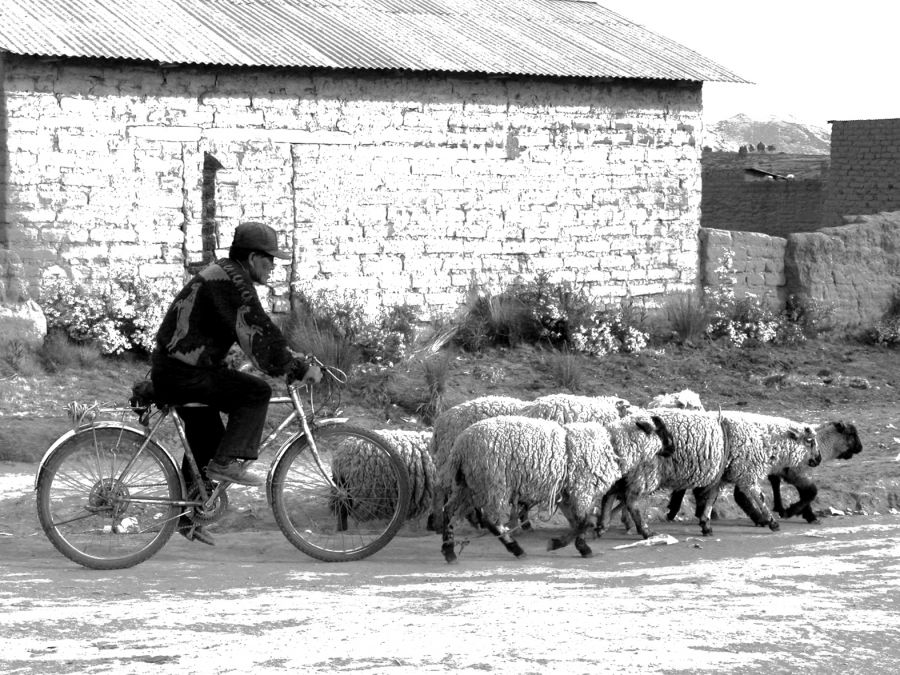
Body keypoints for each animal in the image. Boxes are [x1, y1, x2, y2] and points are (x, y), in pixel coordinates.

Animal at [436, 412, 676, 564]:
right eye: (660, 430)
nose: (673, 448)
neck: (613, 446)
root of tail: (460, 447)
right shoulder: (581, 489)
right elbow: (586, 522)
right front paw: (559, 544)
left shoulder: (568, 493)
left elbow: (579, 522)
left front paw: (580, 546)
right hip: (493, 482)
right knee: (492, 521)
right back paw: (516, 549)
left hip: (468, 484)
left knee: (448, 512)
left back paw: (449, 551)